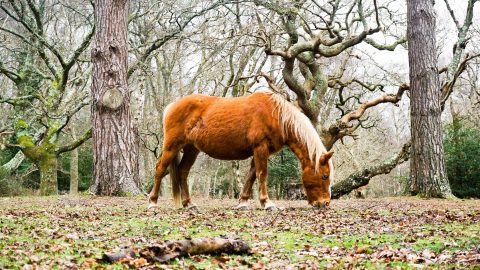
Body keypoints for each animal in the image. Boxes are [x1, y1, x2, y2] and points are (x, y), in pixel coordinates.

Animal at [147, 89, 334, 210]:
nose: (324, 204)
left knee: (182, 172)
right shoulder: (260, 148)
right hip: (171, 146)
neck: (276, 115)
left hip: (191, 149)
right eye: (325, 176)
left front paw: (243, 202)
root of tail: (172, 106)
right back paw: (152, 202)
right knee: (160, 169)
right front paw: (267, 203)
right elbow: (262, 174)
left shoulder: (260, 151)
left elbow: (251, 176)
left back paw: (189, 204)